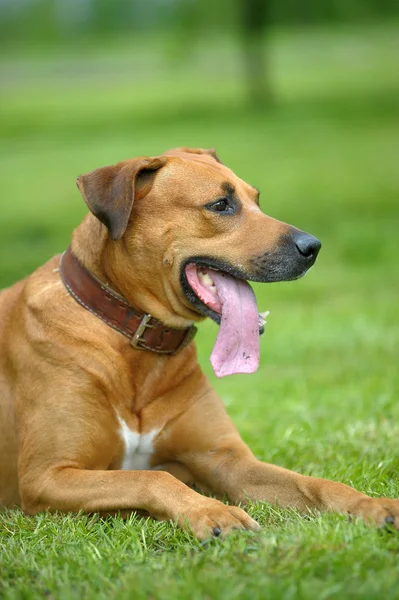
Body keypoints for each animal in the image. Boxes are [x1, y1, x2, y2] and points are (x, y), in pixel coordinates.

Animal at [0, 146, 398, 540]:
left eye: (256, 200)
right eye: (220, 204)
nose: (312, 247)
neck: (135, 342)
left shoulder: (227, 460)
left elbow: (315, 483)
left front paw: (371, 504)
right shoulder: (47, 477)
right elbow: (152, 477)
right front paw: (213, 511)